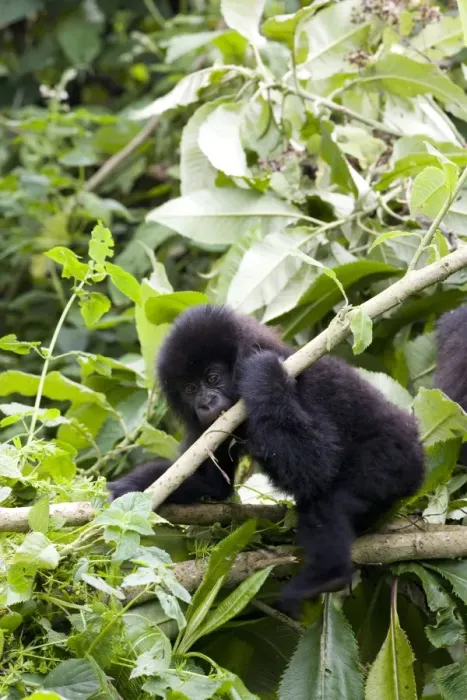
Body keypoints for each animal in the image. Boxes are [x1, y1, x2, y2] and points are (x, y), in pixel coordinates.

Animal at [108, 304, 425, 611]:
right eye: (189, 388)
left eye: (213, 378)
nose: (205, 403)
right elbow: (212, 485)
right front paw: (127, 489)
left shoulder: (305, 384)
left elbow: (317, 464)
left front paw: (263, 370)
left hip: (390, 462)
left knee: (327, 497)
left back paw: (326, 577)